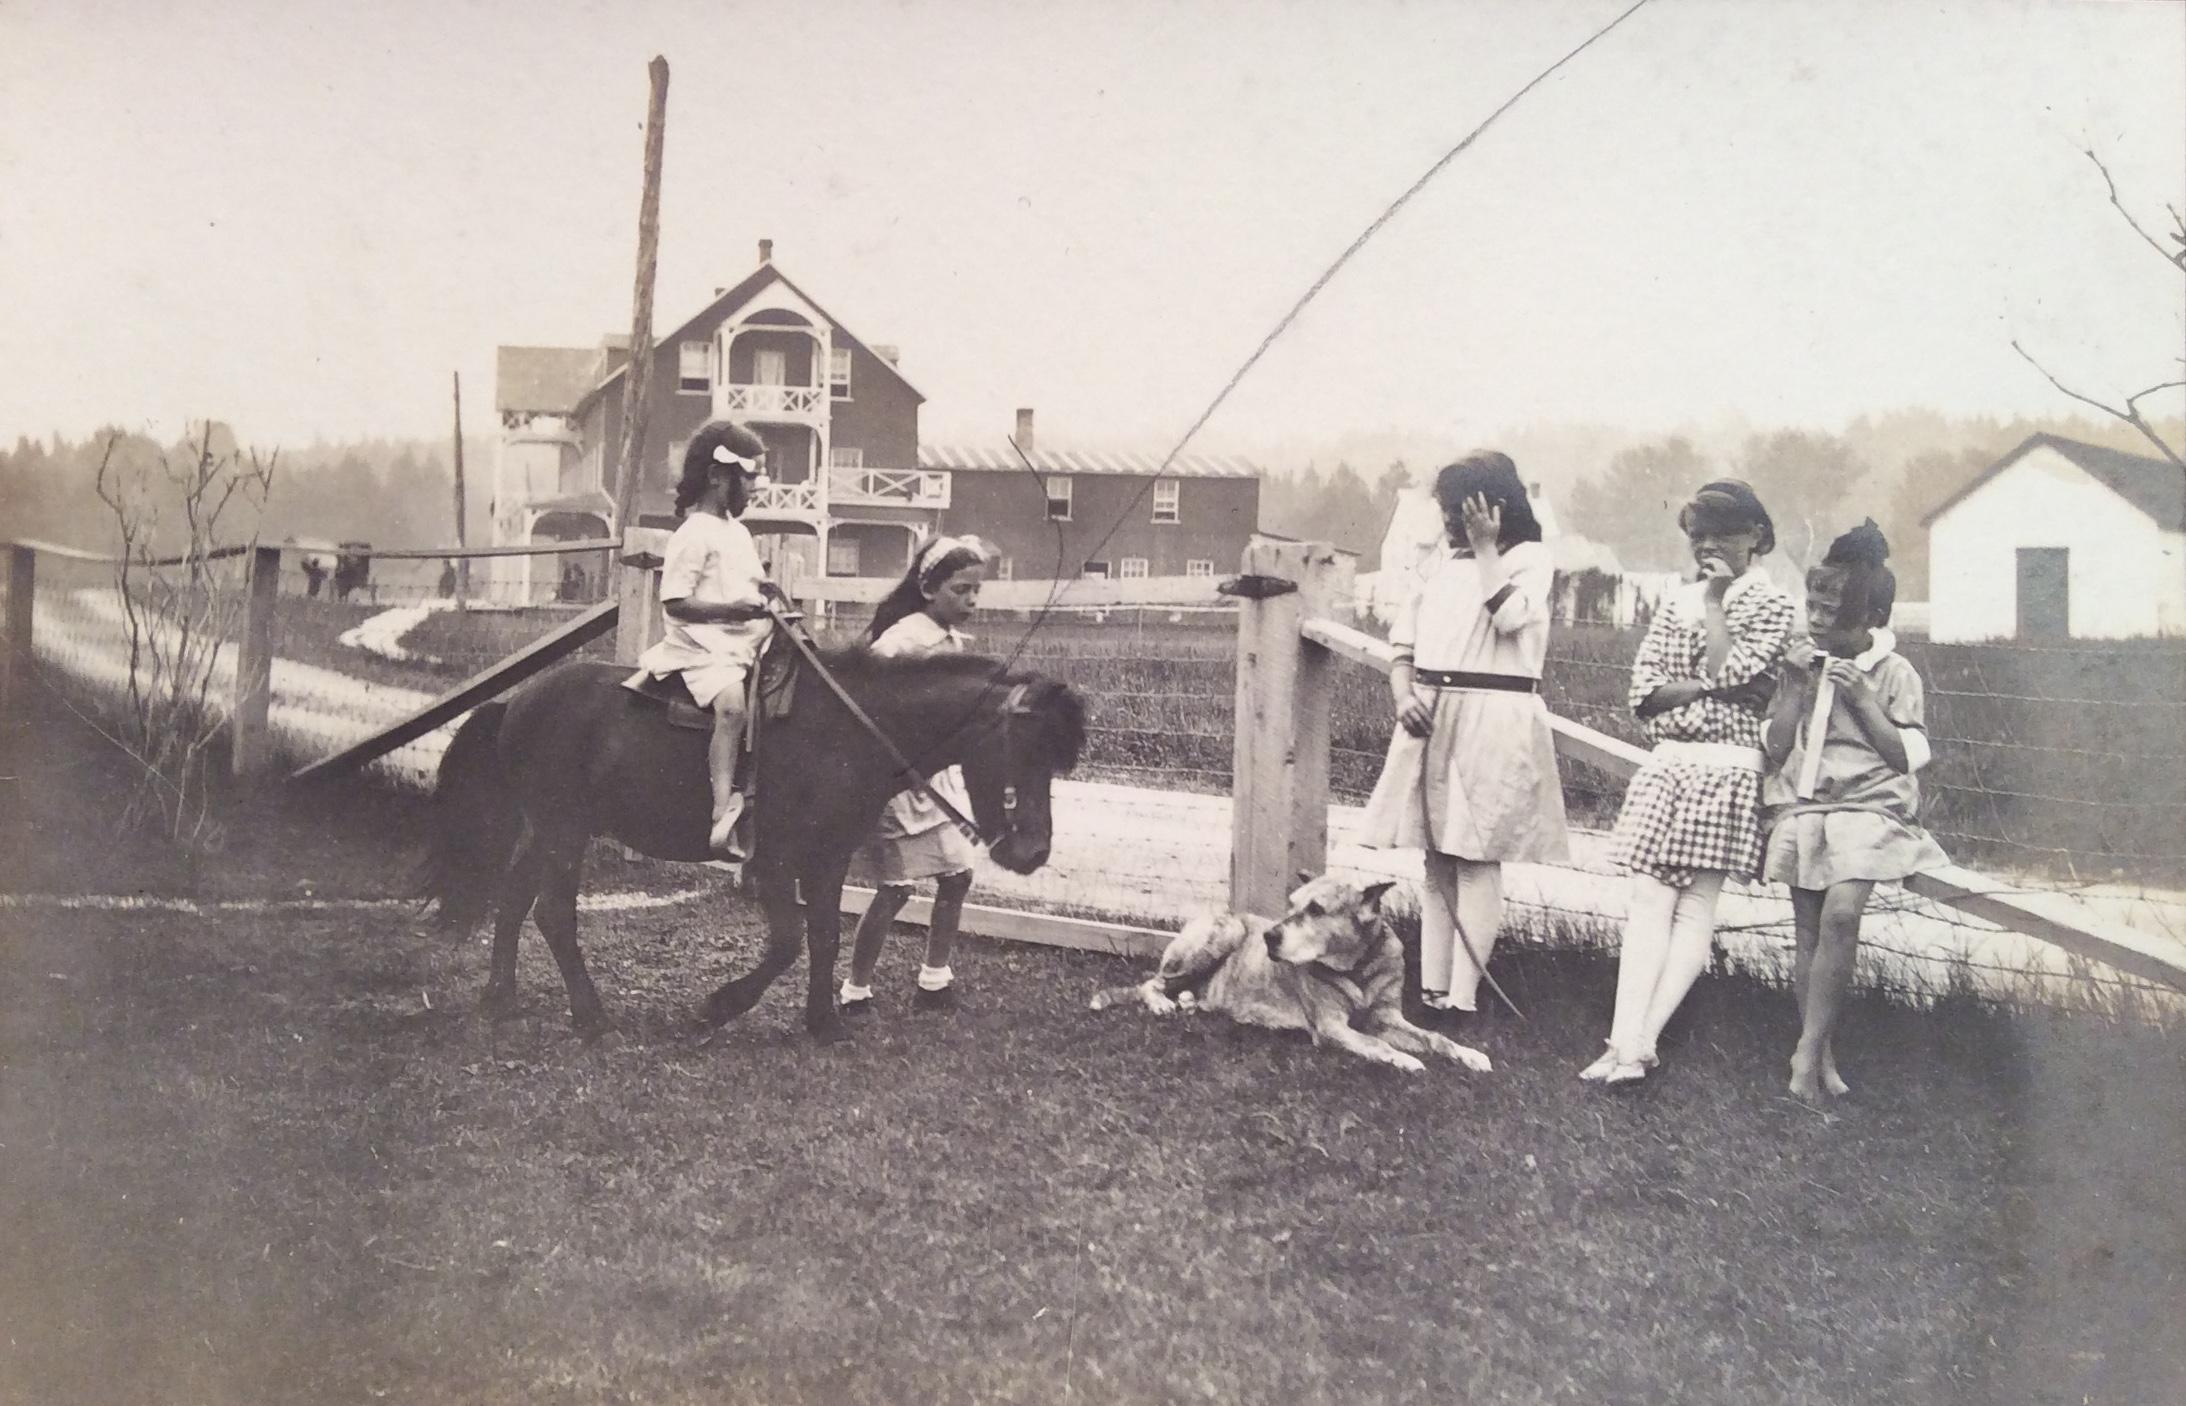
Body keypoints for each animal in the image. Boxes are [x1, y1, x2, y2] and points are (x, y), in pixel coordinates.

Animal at [419, 651, 1084, 1045]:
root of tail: (517, 700)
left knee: (512, 900)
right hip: (564, 828)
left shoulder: (828, 859)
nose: (1033, 851)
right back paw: (591, 1015)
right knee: (553, 913)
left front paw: (823, 1022)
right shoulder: (775, 861)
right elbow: (788, 941)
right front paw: (720, 1005)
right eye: (1024, 749)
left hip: (548, 828)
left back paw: (500, 996)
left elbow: (825, 936)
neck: (848, 732)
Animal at [1088, 874, 1495, 1071]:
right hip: (1224, 932)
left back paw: (1190, 1001)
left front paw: (1469, 1055)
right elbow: (1377, 1044)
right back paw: (1161, 1003)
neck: (1358, 966)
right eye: (1292, 905)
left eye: (1316, 909)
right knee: (1150, 983)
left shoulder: (1387, 1018)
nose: (1269, 936)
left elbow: (1435, 1038)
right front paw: (1406, 1060)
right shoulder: (1332, 1028)